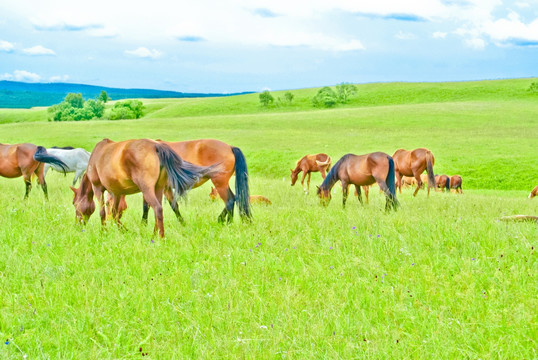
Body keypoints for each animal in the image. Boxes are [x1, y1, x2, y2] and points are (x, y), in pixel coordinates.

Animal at [70, 139, 219, 238]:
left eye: (74, 203)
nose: (77, 225)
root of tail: (156, 146)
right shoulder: (117, 192)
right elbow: (114, 212)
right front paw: (122, 230)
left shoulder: (98, 188)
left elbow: (102, 212)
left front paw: (104, 232)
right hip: (158, 188)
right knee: (158, 210)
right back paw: (153, 235)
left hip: (147, 189)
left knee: (157, 209)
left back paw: (161, 238)